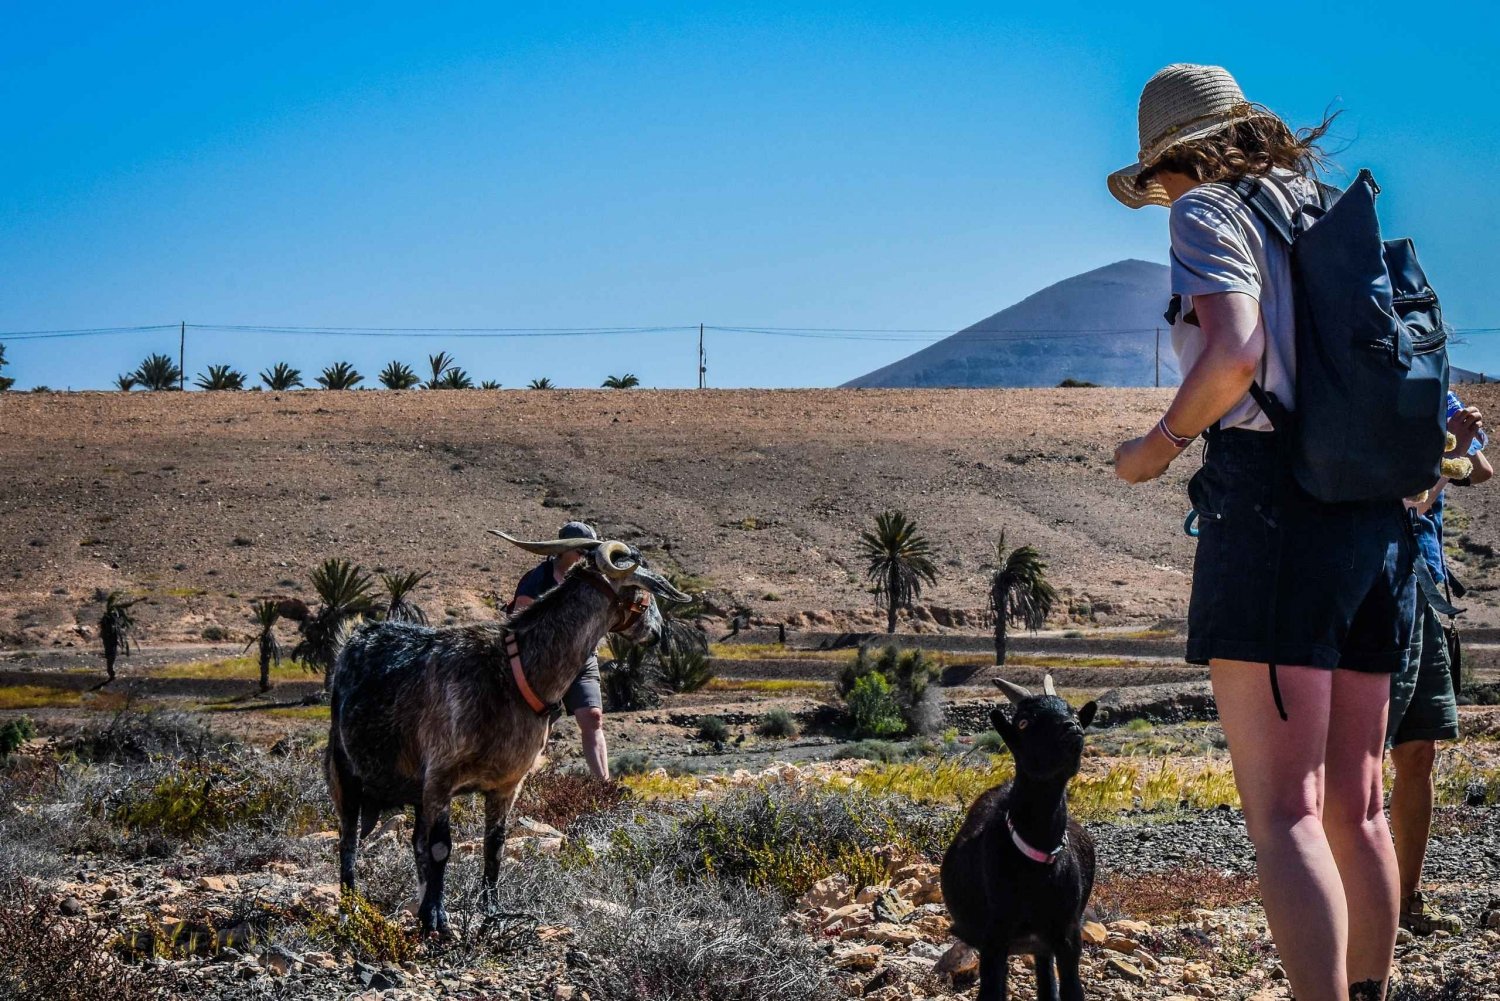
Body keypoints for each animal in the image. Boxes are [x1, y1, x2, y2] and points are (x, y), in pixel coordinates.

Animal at [331, 528, 687, 936]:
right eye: (644, 594)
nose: (658, 633)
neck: (514, 673)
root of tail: (355, 636)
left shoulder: (506, 783)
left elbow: (494, 845)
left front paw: (491, 911)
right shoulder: (440, 776)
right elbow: (441, 847)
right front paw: (438, 920)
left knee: (414, 841)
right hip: (345, 771)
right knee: (349, 841)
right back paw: (351, 910)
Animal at [942, 672, 1098, 1001]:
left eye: (1073, 712)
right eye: (1024, 722)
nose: (1072, 728)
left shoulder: (1068, 938)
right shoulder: (993, 942)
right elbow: (992, 993)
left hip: (1043, 945)